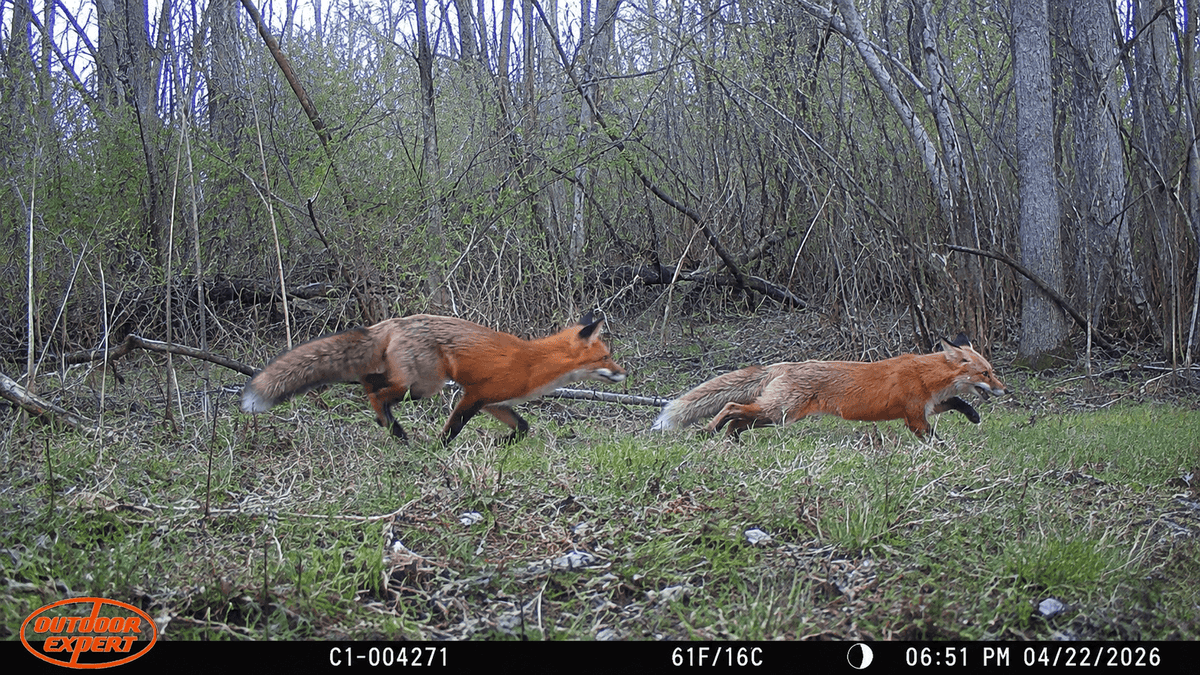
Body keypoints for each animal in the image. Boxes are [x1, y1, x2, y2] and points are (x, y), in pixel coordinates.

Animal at [241, 312, 626, 445]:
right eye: (605, 357)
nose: (625, 374)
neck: (533, 362)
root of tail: (392, 322)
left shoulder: (494, 402)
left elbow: (523, 427)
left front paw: (502, 444)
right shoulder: (474, 395)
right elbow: (451, 430)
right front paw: (438, 450)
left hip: (412, 382)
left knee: (368, 382)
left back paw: (387, 426)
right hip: (424, 387)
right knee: (375, 393)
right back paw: (395, 430)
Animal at [651, 334, 1005, 439]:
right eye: (986, 373)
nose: (1005, 390)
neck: (926, 375)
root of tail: (786, 364)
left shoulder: (929, 405)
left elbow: (958, 403)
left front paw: (973, 416)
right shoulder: (915, 417)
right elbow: (934, 439)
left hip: (776, 417)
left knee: (738, 419)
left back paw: (730, 439)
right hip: (779, 411)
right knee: (731, 406)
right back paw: (710, 430)